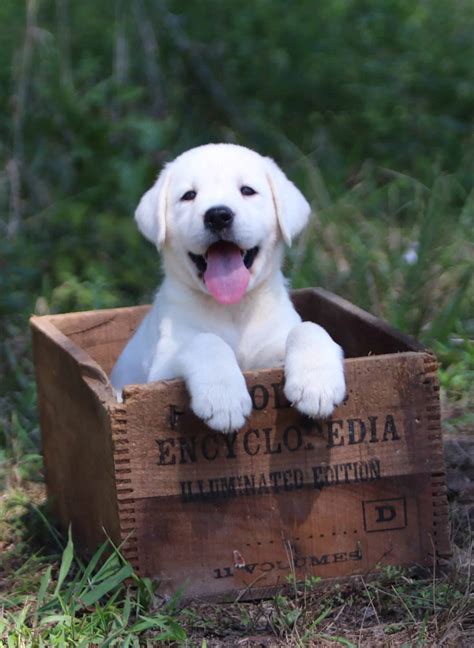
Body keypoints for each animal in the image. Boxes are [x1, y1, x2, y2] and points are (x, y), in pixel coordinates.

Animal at [113, 144, 346, 432]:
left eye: (247, 190)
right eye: (189, 195)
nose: (218, 216)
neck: (233, 308)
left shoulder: (272, 352)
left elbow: (308, 328)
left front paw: (316, 383)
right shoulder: (159, 373)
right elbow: (205, 340)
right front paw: (223, 398)